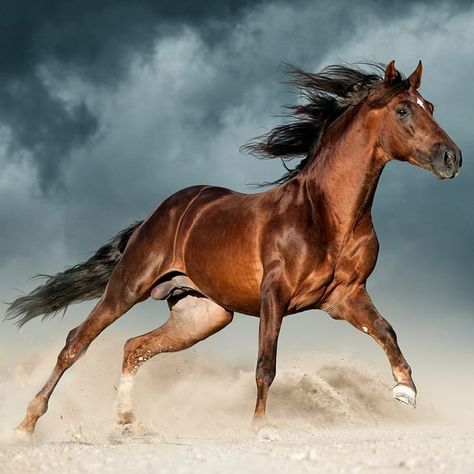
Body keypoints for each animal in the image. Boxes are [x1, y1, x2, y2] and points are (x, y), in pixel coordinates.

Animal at [5, 60, 462, 436]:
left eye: (431, 105)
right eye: (403, 111)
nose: (451, 158)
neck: (327, 214)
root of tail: (161, 213)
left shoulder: (344, 297)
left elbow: (386, 330)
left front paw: (406, 390)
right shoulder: (274, 295)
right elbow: (265, 365)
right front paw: (260, 428)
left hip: (202, 315)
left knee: (134, 347)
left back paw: (127, 422)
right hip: (128, 286)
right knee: (75, 343)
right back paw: (27, 425)